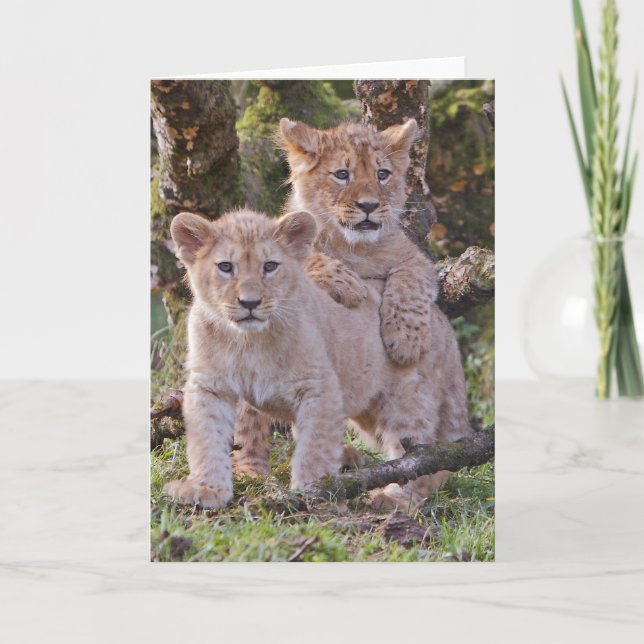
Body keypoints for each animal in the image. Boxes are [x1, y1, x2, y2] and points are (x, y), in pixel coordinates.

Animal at [163, 209, 469, 510]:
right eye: (225, 267)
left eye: (270, 266)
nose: (250, 303)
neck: (248, 341)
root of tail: (441, 319)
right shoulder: (209, 386)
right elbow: (207, 439)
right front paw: (207, 489)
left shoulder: (320, 388)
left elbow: (315, 447)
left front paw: (314, 493)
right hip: (370, 409)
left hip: (407, 399)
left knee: (422, 453)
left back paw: (395, 497)